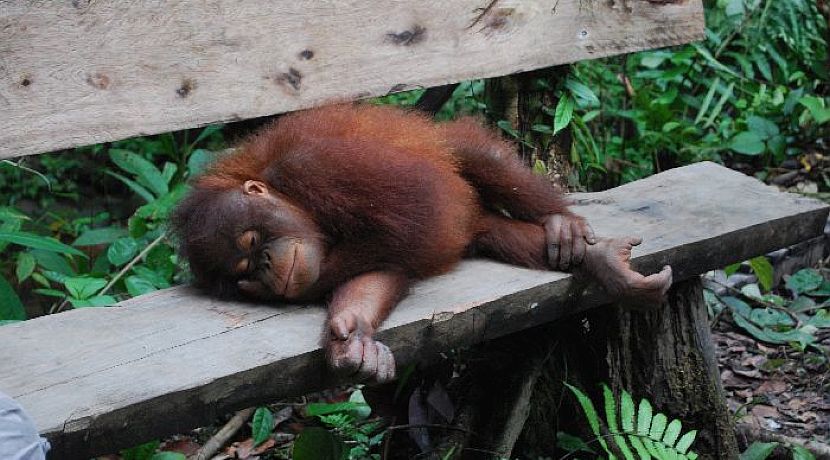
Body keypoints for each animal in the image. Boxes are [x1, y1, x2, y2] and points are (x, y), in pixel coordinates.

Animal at [171, 103, 672, 382]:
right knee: (487, 230)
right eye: (242, 272)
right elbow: (386, 266)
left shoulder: (312, 167)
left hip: (447, 146)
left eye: (254, 240)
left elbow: (415, 210)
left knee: (471, 156)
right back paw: (599, 260)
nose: (265, 267)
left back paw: (566, 227)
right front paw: (351, 339)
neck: (287, 193)